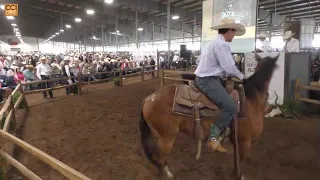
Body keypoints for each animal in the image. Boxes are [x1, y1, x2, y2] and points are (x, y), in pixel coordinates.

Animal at [139, 54, 278, 179]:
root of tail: (148, 99)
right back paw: (168, 174)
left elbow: (236, 165)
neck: (251, 99)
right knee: (160, 157)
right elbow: (241, 165)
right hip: (167, 138)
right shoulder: (245, 142)